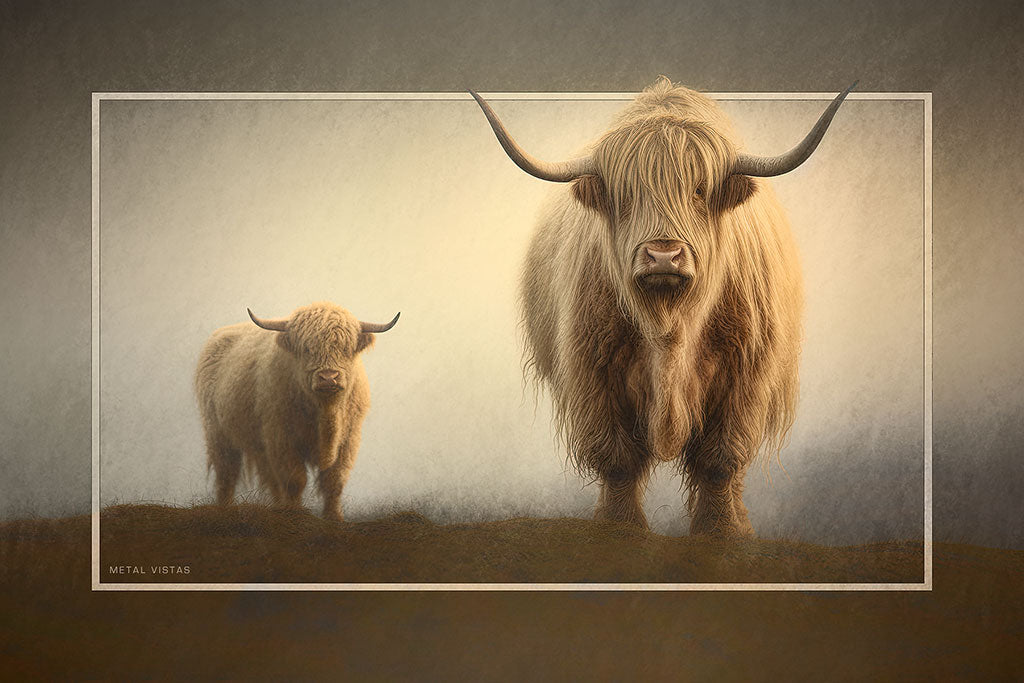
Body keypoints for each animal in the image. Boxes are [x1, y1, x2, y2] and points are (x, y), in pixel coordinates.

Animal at [195, 302, 399, 521]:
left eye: (345, 348)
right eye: (307, 348)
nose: (328, 377)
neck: (325, 412)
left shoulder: (348, 440)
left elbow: (334, 480)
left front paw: (334, 518)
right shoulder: (282, 438)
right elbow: (295, 479)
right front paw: (295, 515)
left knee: (270, 479)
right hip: (218, 434)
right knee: (227, 473)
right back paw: (225, 510)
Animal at [471, 78, 854, 536]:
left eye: (700, 190)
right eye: (627, 194)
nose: (663, 256)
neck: (670, 325)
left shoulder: (747, 372)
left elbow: (721, 459)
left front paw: (720, 532)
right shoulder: (592, 371)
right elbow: (616, 459)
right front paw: (620, 529)